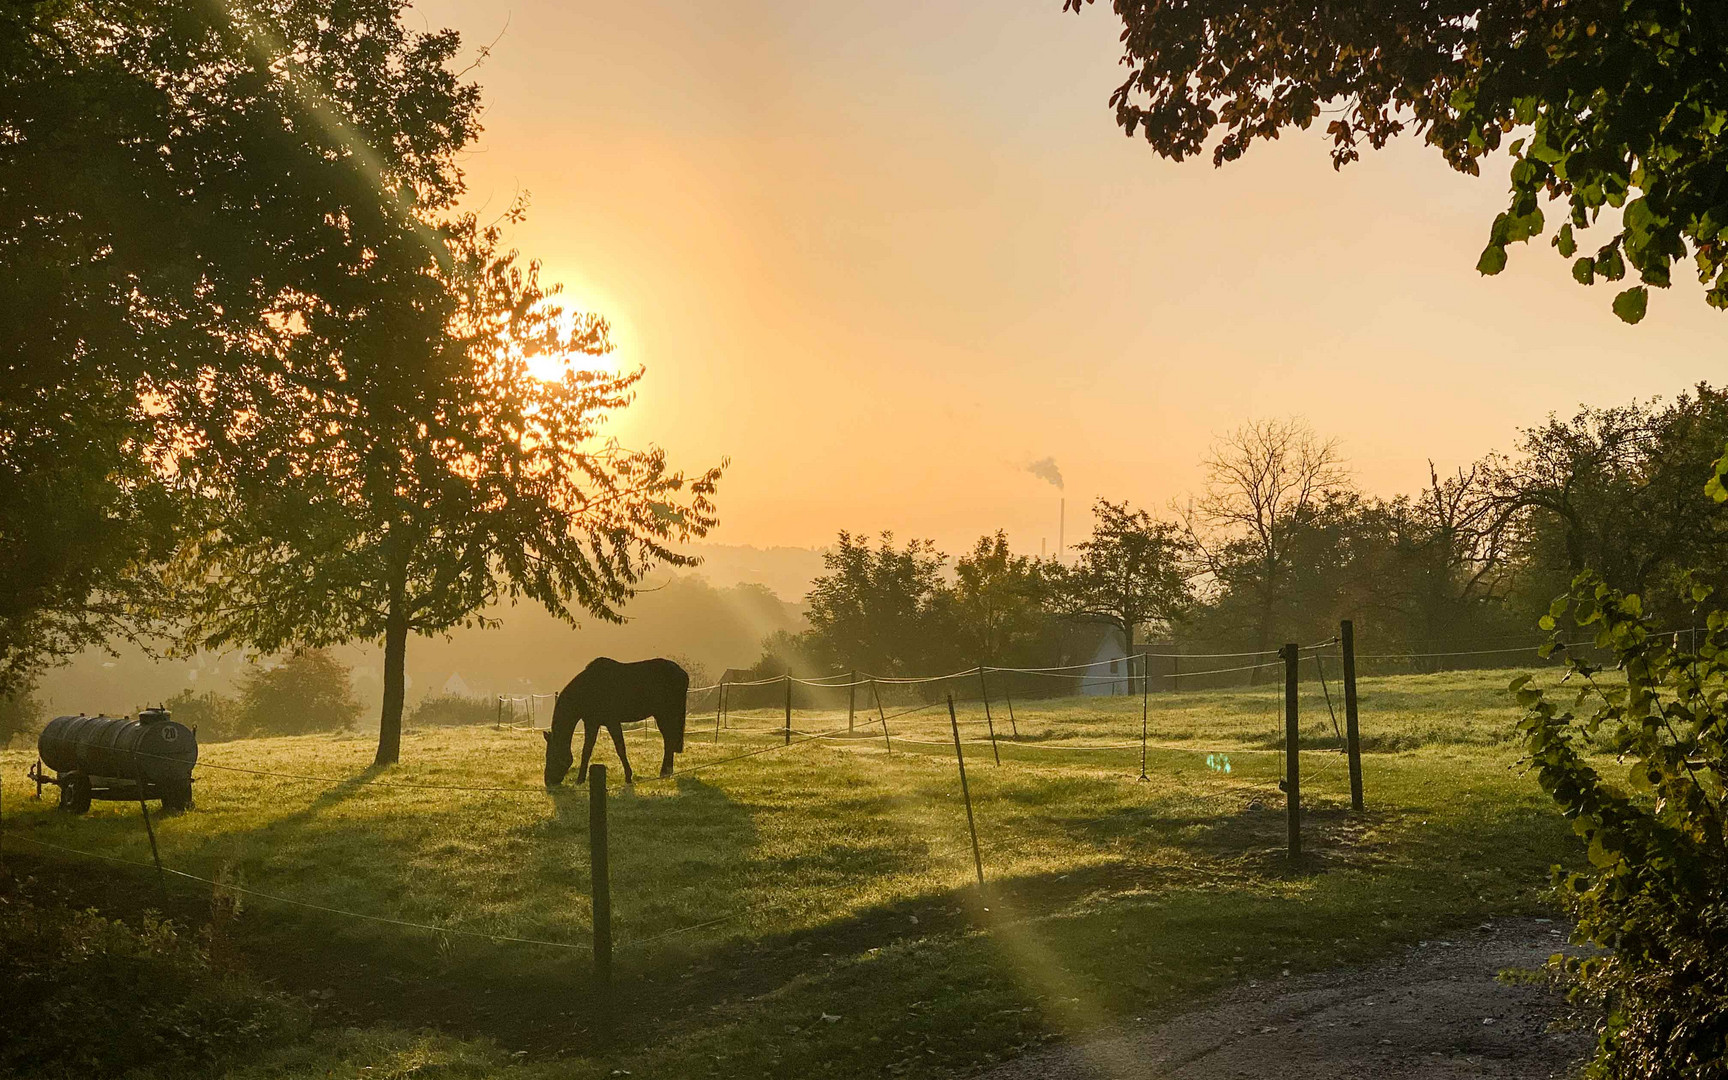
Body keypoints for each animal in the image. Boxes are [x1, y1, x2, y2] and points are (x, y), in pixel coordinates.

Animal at [539, 656, 687, 784]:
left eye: (551, 756)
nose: (548, 781)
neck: (588, 689)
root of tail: (682, 673)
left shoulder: (612, 722)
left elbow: (620, 748)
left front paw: (628, 776)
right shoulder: (592, 723)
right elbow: (587, 750)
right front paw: (580, 779)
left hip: (665, 714)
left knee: (669, 740)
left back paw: (665, 772)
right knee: (668, 740)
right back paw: (666, 772)